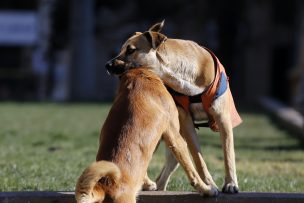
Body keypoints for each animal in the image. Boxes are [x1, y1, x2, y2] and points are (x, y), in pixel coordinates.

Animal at [75, 68, 218, 203]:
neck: (138, 79)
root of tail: (103, 187)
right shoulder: (175, 137)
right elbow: (192, 171)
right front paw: (207, 190)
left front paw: (148, 184)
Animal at [104, 20, 242, 193]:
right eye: (122, 49)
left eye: (131, 50)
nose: (107, 65)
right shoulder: (186, 122)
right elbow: (199, 159)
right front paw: (210, 184)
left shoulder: (222, 117)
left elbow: (228, 153)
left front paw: (231, 184)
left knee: (165, 172)